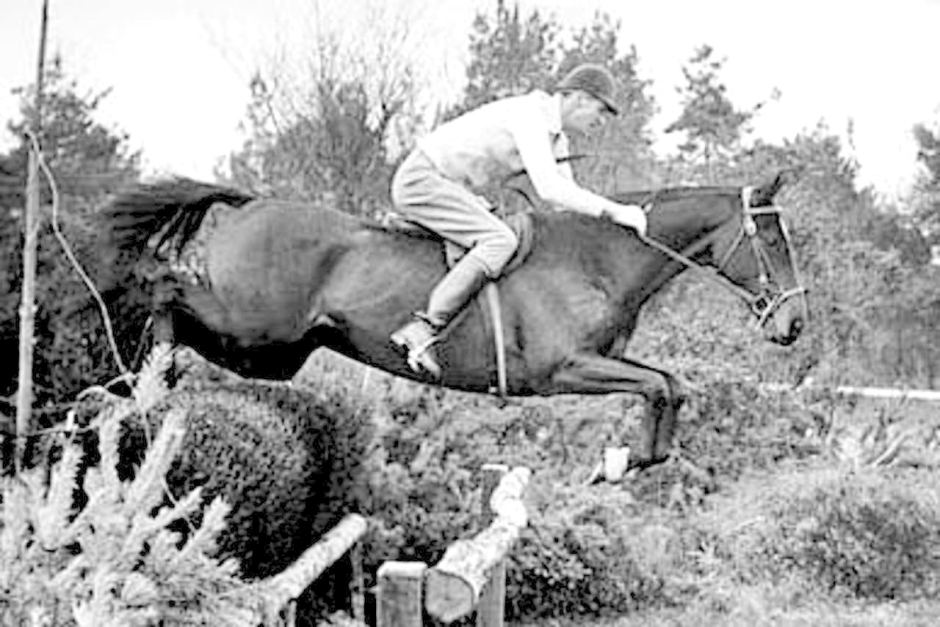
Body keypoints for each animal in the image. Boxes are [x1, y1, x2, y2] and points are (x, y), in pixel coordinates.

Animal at [101, 172, 808, 476]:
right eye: (773, 239)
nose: (795, 323)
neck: (597, 260)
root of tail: (251, 204)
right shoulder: (564, 370)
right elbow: (661, 384)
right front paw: (621, 461)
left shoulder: (605, 363)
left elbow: (671, 384)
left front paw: (631, 460)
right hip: (254, 330)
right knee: (164, 289)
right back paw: (145, 379)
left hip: (277, 352)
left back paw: (146, 382)